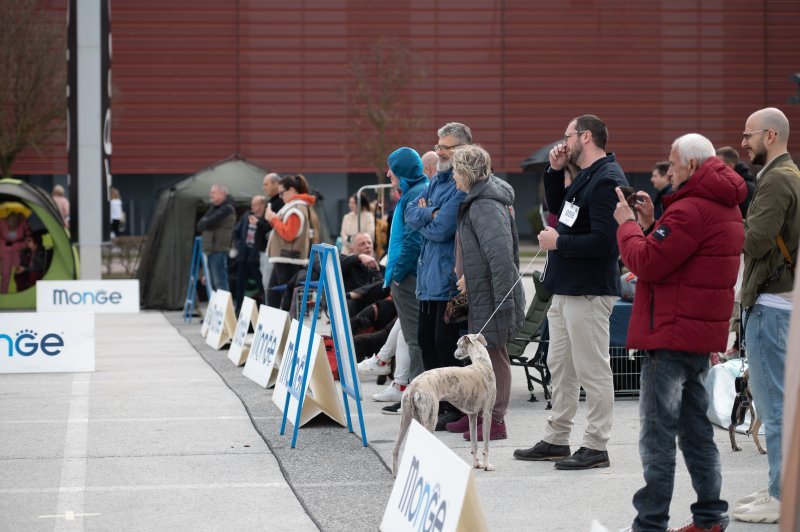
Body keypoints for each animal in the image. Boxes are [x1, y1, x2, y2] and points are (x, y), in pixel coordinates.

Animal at [392, 334, 496, 476]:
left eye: (458, 345)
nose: (454, 354)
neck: (482, 364)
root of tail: (414, 388)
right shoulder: (487, 413)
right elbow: (486, 444)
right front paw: (486, 465)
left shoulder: (472, 415)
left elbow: (474, 443)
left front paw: (477, 464)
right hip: (430, 420)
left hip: (406, 419)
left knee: (395, 448)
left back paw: (396, 473)